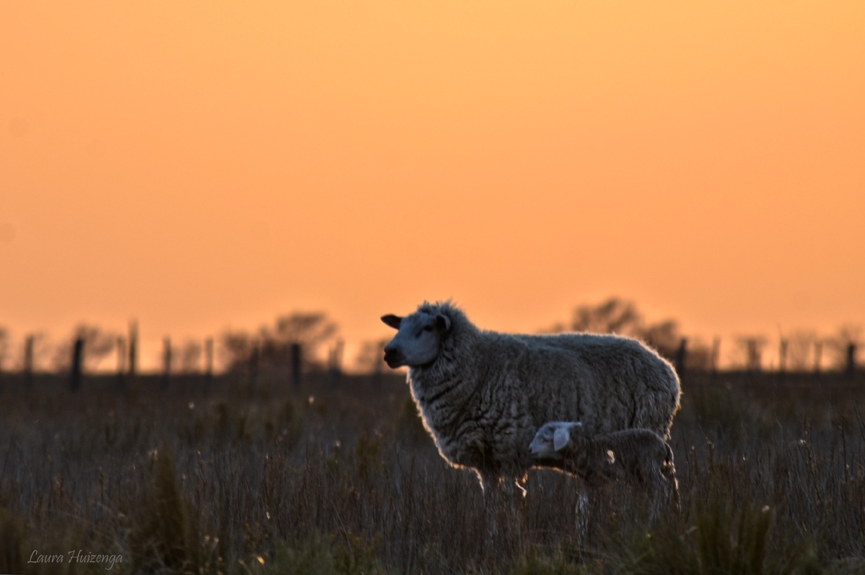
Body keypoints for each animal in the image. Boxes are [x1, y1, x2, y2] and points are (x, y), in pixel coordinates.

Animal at [380, 302, 680, 496]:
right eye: (400, 325)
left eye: (427, 328)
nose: (389, 352)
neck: (479, 365)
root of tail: (665, 366)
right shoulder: (484, 460)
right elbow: (491, 499)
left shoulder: (510, 450)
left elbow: (512, 497)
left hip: (646, 436)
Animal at [528, 420, 680, 510]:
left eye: (544, 439)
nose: (529, 450)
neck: (588, 450)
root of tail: (663, 444)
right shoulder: (590, 484)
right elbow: (582, 508)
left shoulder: (612, 479)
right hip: (656, 470)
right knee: (668, 486)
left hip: (648, 466)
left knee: (662, 487)